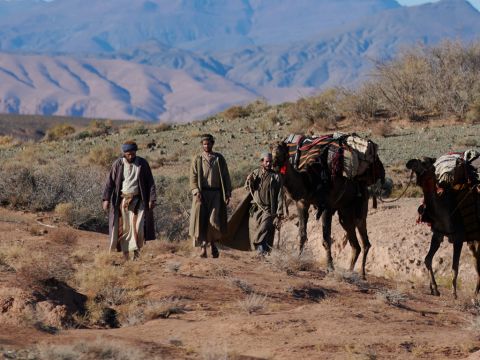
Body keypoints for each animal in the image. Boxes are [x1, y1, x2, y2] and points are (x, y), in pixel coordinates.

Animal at [272, 139, 384, 278]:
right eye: (272, 150)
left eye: (283, 152)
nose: (274, 163)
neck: (310, 181)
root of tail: (366, 188)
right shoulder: (302, 203)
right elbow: (302, 234)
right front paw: (299, 259)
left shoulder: (327, 207)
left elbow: (326, 239)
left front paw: (330, 268)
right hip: (345, 213)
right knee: (355, 244)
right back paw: (350, 272)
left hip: (360, 206)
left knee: (365, 242)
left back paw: (362, 275)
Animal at [404, 158, 480, 298]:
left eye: (424, 162)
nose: (409, 162)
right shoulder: (438, 234)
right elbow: (427, 259)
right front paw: (434, 289)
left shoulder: (458, 238)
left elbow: (455, 267)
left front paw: (454, 293)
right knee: (477, 260)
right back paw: (475, 295)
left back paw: (474, 295)